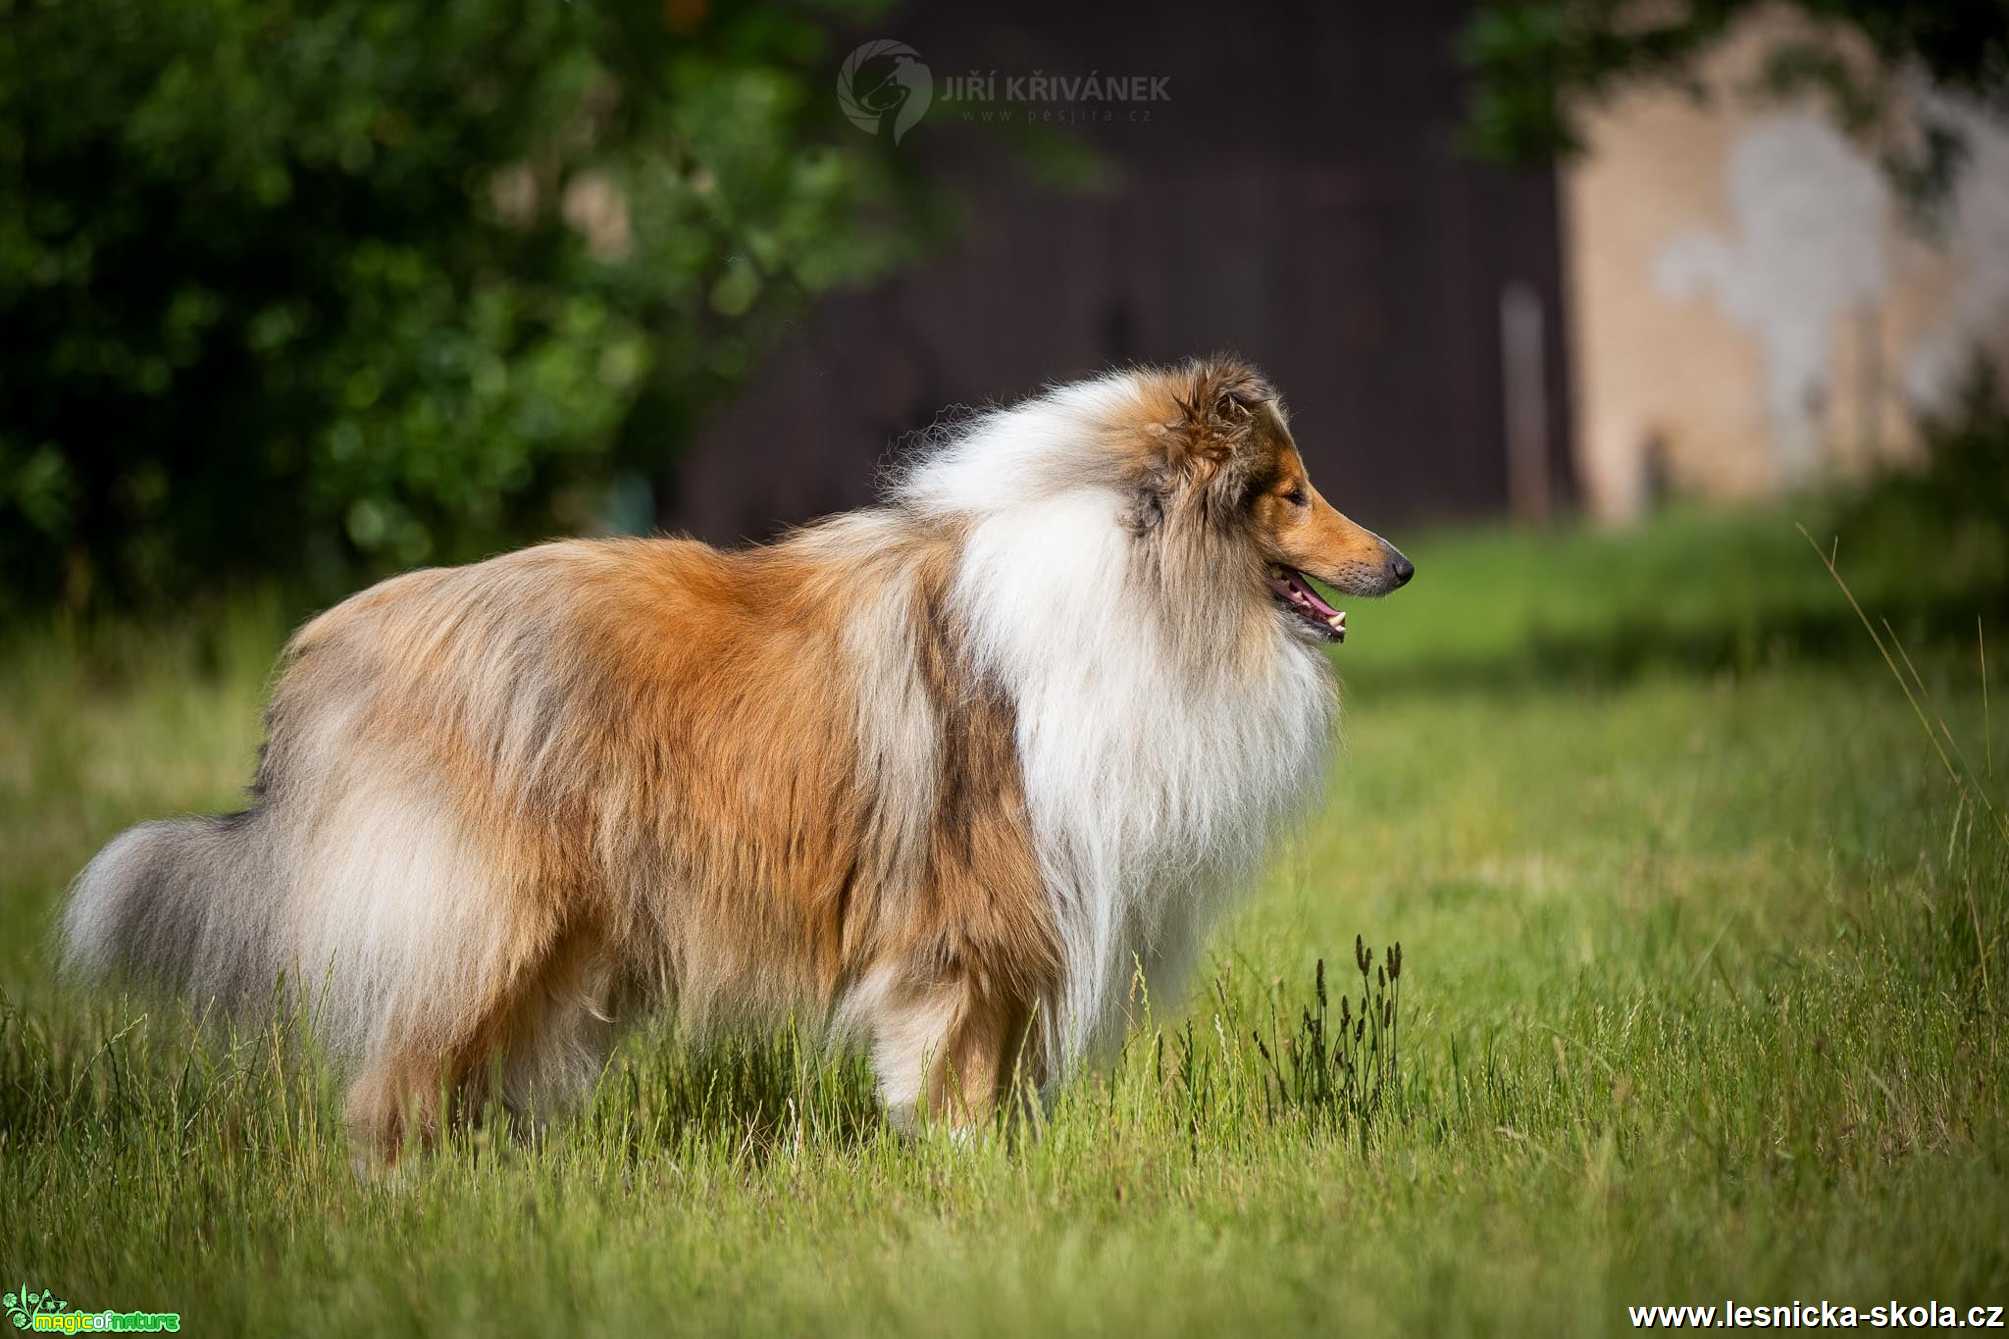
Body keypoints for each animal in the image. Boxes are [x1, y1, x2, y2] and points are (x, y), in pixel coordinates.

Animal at [62, 355, 1414, 1164]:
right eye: (1290, 493)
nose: (1399, 565)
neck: (1147, 584)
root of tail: (325, 652)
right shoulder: (970, 920)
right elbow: (956, 1079)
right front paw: (967, 1185)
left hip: (557, 939)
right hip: (481, 914)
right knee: (388, 1088)